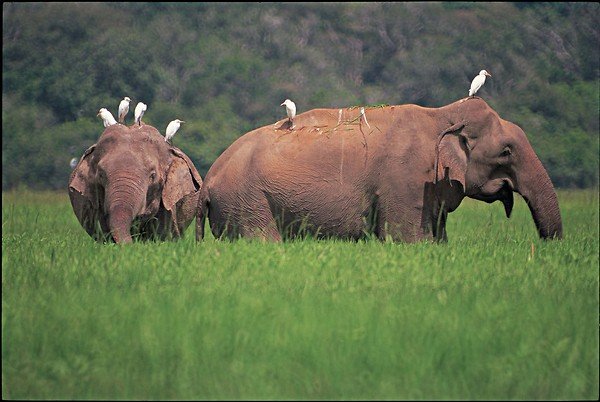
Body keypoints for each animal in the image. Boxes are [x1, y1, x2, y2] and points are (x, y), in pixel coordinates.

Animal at [195, 97, 560, 242]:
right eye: (506, 151)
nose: (547, 248)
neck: (441, 114)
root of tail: (207, 182)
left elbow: (437, 240)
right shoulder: (406, 181)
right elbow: (409, 240)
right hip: (248, 203)